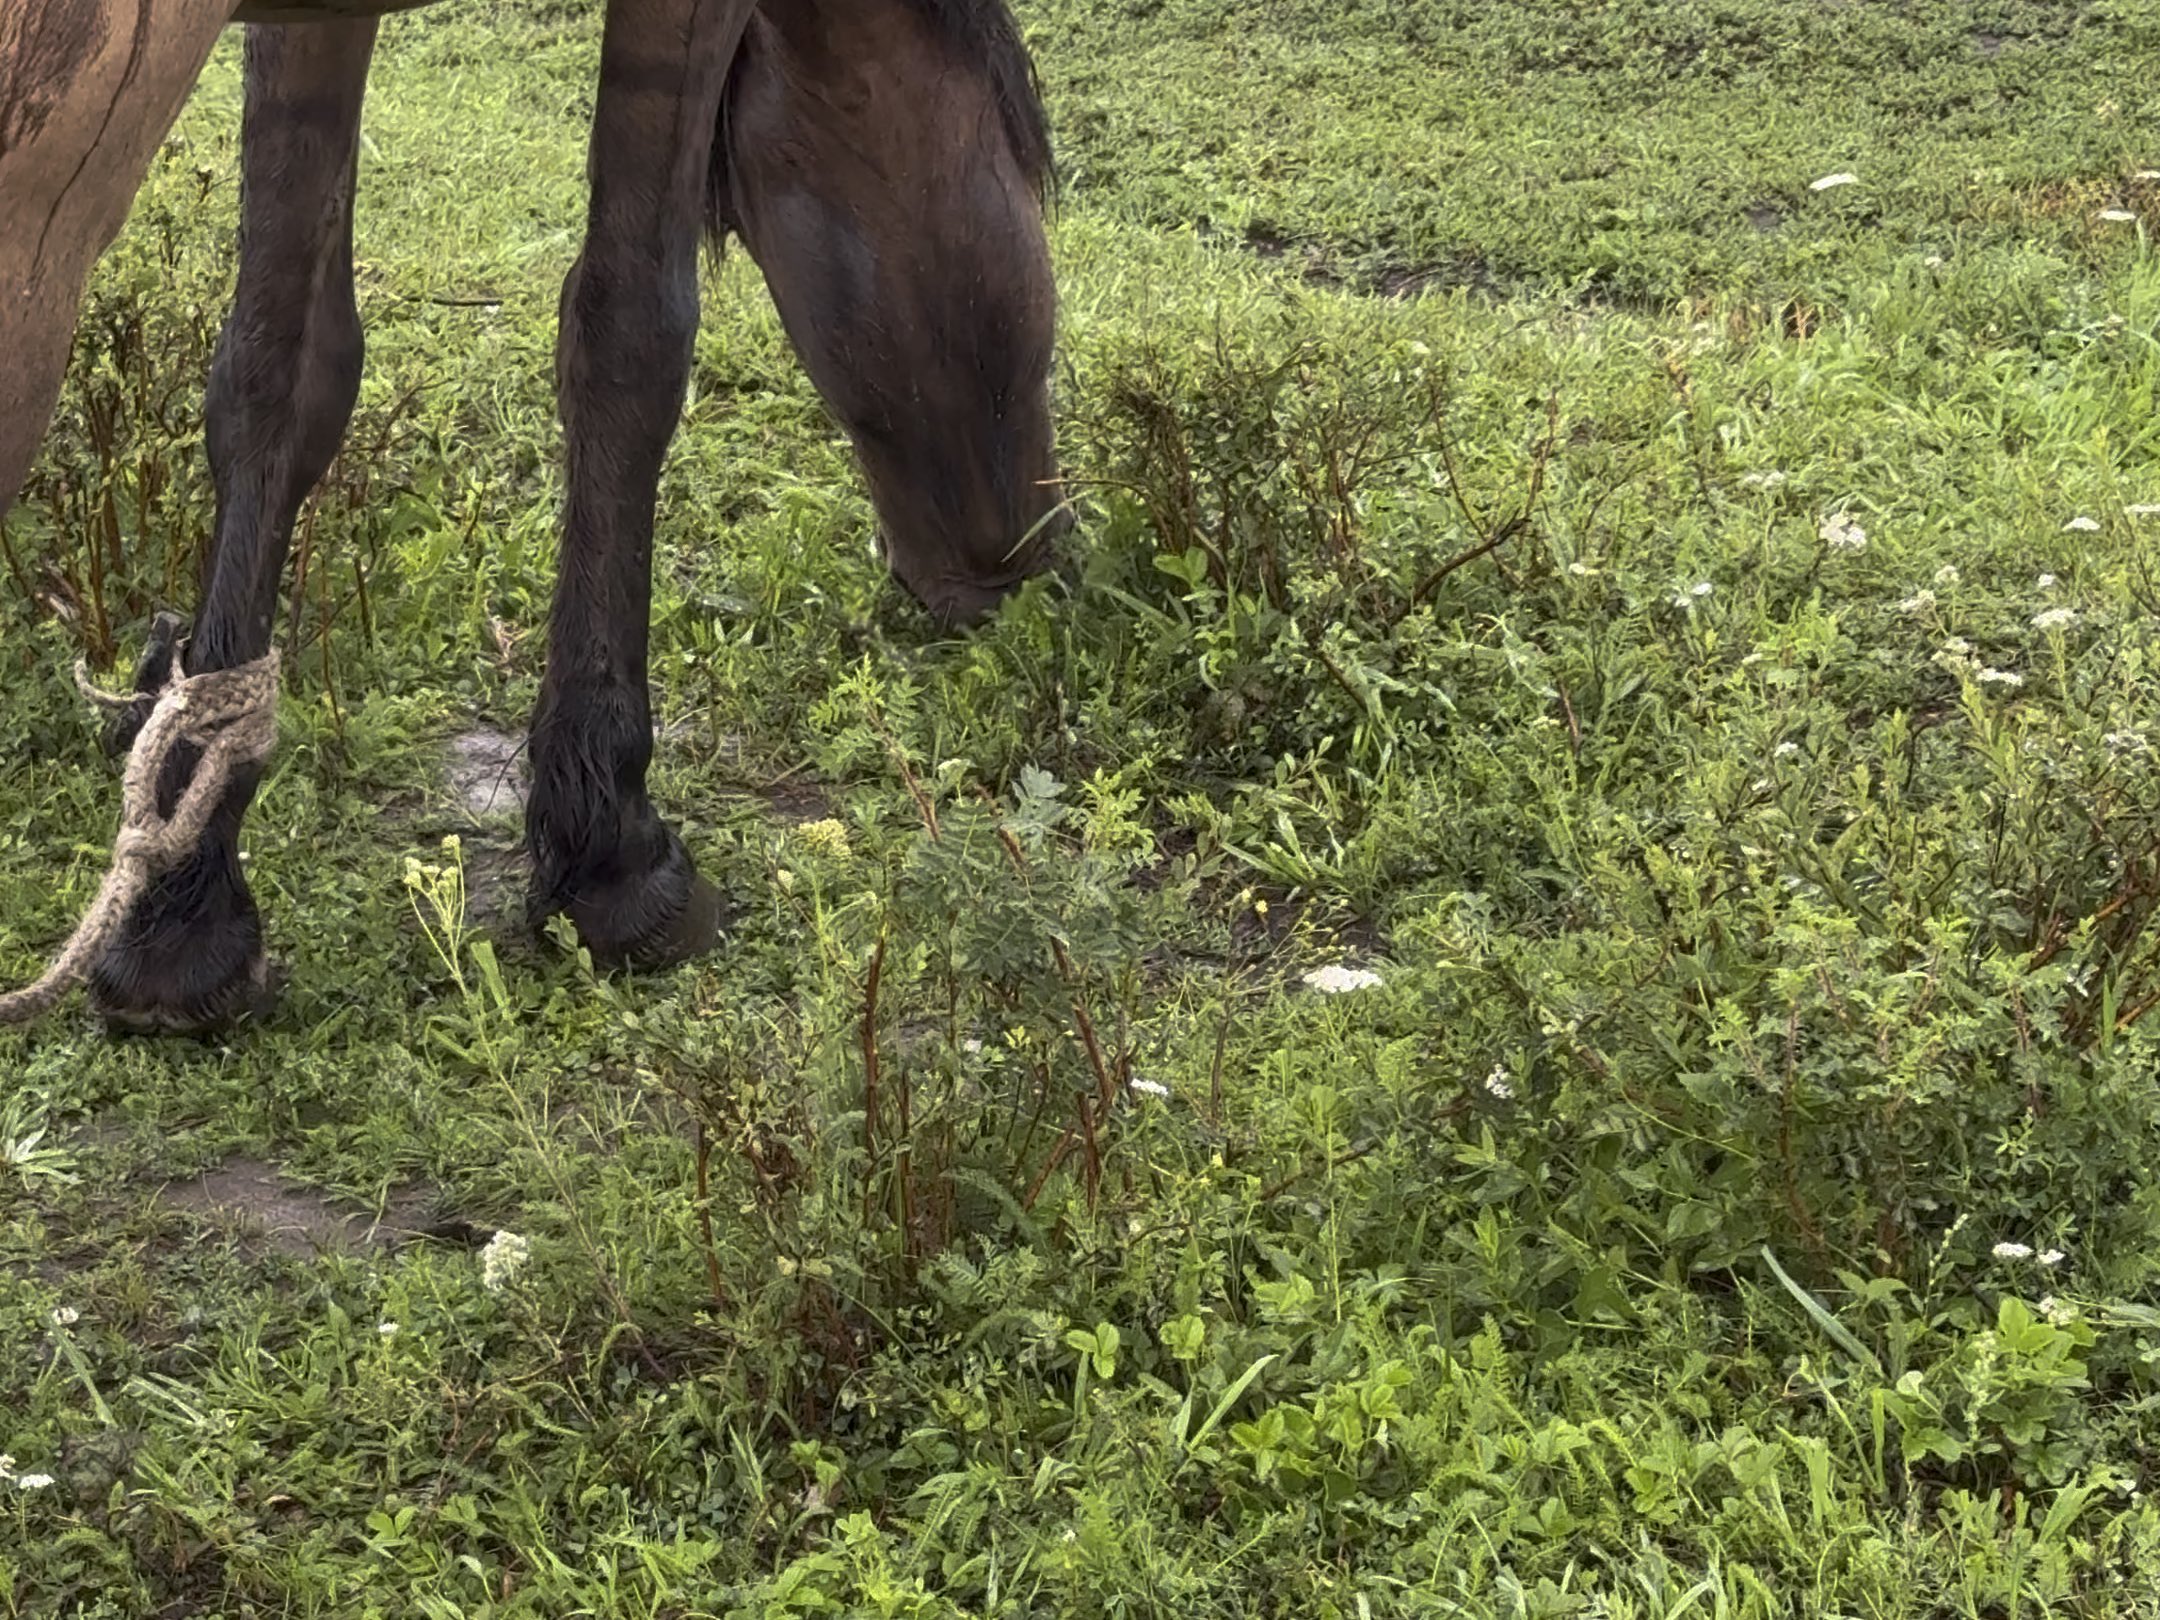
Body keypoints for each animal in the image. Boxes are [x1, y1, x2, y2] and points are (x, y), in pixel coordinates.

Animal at [0, 0, 1064, 1033]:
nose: (1032, 558)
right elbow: (629, 335)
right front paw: (613, 849)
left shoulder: (308, 27)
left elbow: (280, 359)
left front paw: (182, 902)